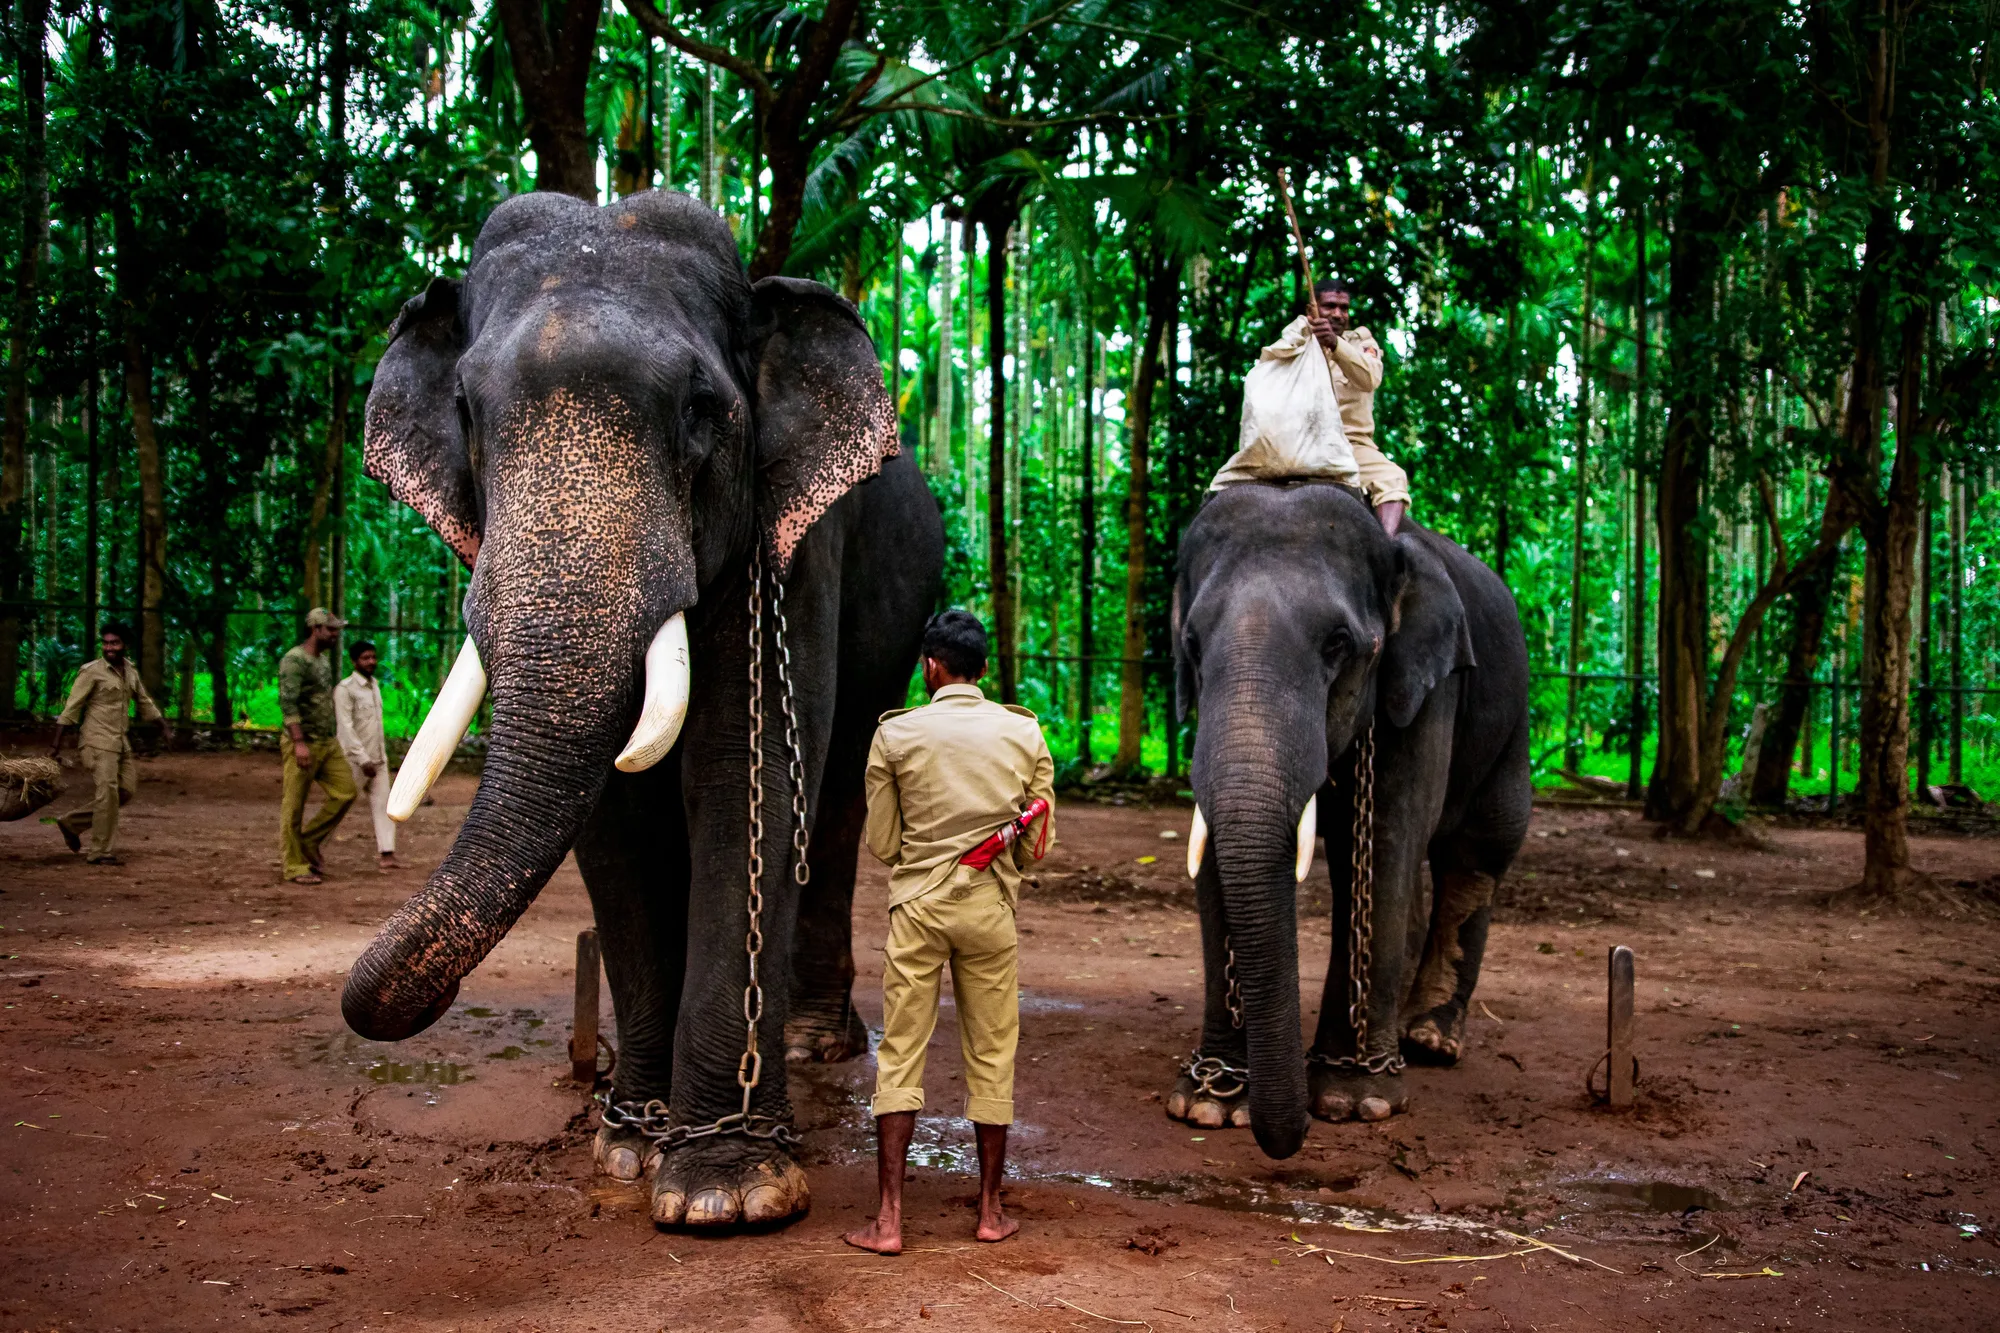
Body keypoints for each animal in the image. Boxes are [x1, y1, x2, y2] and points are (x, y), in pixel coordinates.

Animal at [341, 187, 944, 1227]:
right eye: (464, 411)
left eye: (702, 409)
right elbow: (615, 819)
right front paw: (626, 1144)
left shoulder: (791, 547)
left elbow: (744, 776)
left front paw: (728, 1186)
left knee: (834, 797)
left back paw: (812, 1041)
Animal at [1165, 479, 1529, 1160]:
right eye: (1192, 645)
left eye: (1338, 644)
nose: (1286, 1141)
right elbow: (1212, 841)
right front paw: (1208, 1104)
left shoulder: (1425, 688)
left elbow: (1387, 835)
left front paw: (1351, 1101)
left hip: (1512, 718)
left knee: (1479, 849)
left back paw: (1429, 1039)